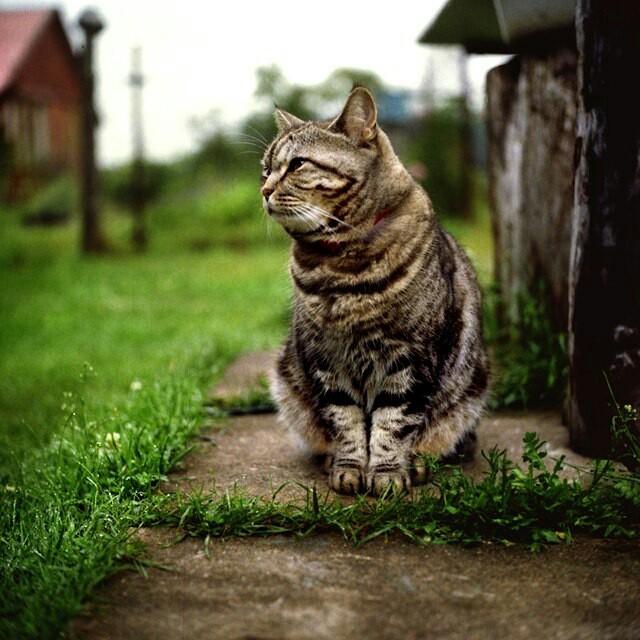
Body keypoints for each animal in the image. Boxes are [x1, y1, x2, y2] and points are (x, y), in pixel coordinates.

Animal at [262, 86, 488, 496]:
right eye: (265, 168)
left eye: (297, 164)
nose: (264, 189)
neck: (341, 267)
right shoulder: (326, 358)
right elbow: (345, 420)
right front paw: (349, 468)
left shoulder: (410, 360)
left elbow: (393, 423)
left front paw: (386, 474)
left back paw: (419, 463)